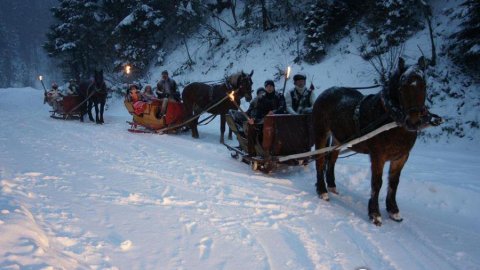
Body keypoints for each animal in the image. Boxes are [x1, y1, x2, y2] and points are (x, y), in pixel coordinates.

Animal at [314, 57, 430, 226]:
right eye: (402, 86)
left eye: (424, 85)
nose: (414, 121)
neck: (390, 118)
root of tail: (326, 92)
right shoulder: (378, 156)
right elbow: (377, 183)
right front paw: (375, 214)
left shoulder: (401, 157)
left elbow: (394, 183)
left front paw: (393, 211)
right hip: (321, 133)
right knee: (320, 160)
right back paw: (322, 191)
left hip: (338, 138)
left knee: (332, 159)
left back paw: (332, 186)